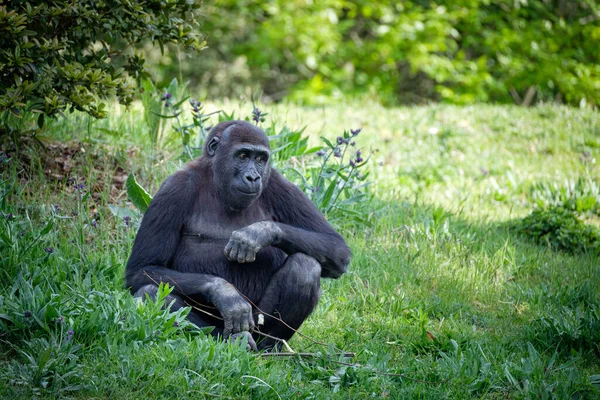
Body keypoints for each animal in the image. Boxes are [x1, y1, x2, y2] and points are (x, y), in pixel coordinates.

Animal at [126, 119, 352, 350]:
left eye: (260, 159)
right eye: (243, 155)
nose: (253, 177)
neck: (216, 179)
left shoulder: (279, 183)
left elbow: (337, 248)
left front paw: (259, 233)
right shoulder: (174, 189)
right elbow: (142, 268)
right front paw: (225, 293)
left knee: (305, 268)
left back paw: (267, 347)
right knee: (151, 293)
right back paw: (235, 341)